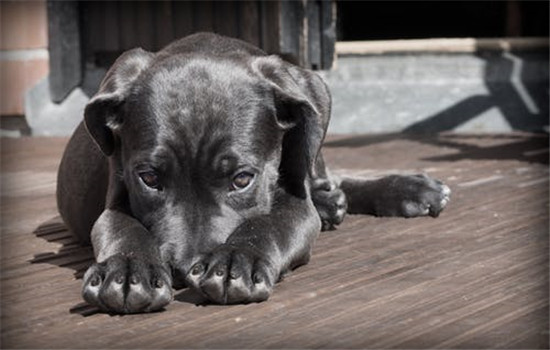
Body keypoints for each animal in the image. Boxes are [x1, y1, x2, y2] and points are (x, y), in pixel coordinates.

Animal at [57, 32, 452, 312]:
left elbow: (270, 222)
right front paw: (126, 270)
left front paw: (237, 260)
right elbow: (122, 228)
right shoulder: (115, 198)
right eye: (149, 179)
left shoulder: (296, 204)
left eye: (242, 179)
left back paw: (404, 190)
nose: (184, 270)